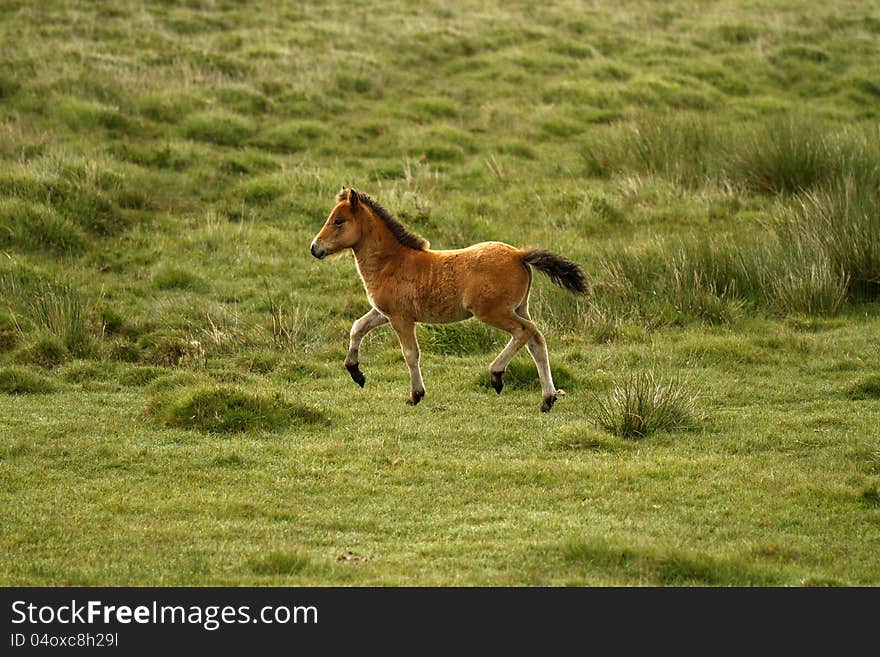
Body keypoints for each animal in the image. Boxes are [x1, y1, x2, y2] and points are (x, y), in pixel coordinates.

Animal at [312, 186, 588, 410]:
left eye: (339, 221)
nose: (315, 248)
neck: (391, 262)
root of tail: (520, 255)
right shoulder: (383, 312)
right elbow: (357, 327)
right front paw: (356, 372)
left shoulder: (401, 318)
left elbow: (410, 353)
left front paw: (415, 395)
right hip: (520, 307)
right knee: (536, 341)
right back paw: (547, 399)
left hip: (494, 312)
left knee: (525, 331)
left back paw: (497, 375)